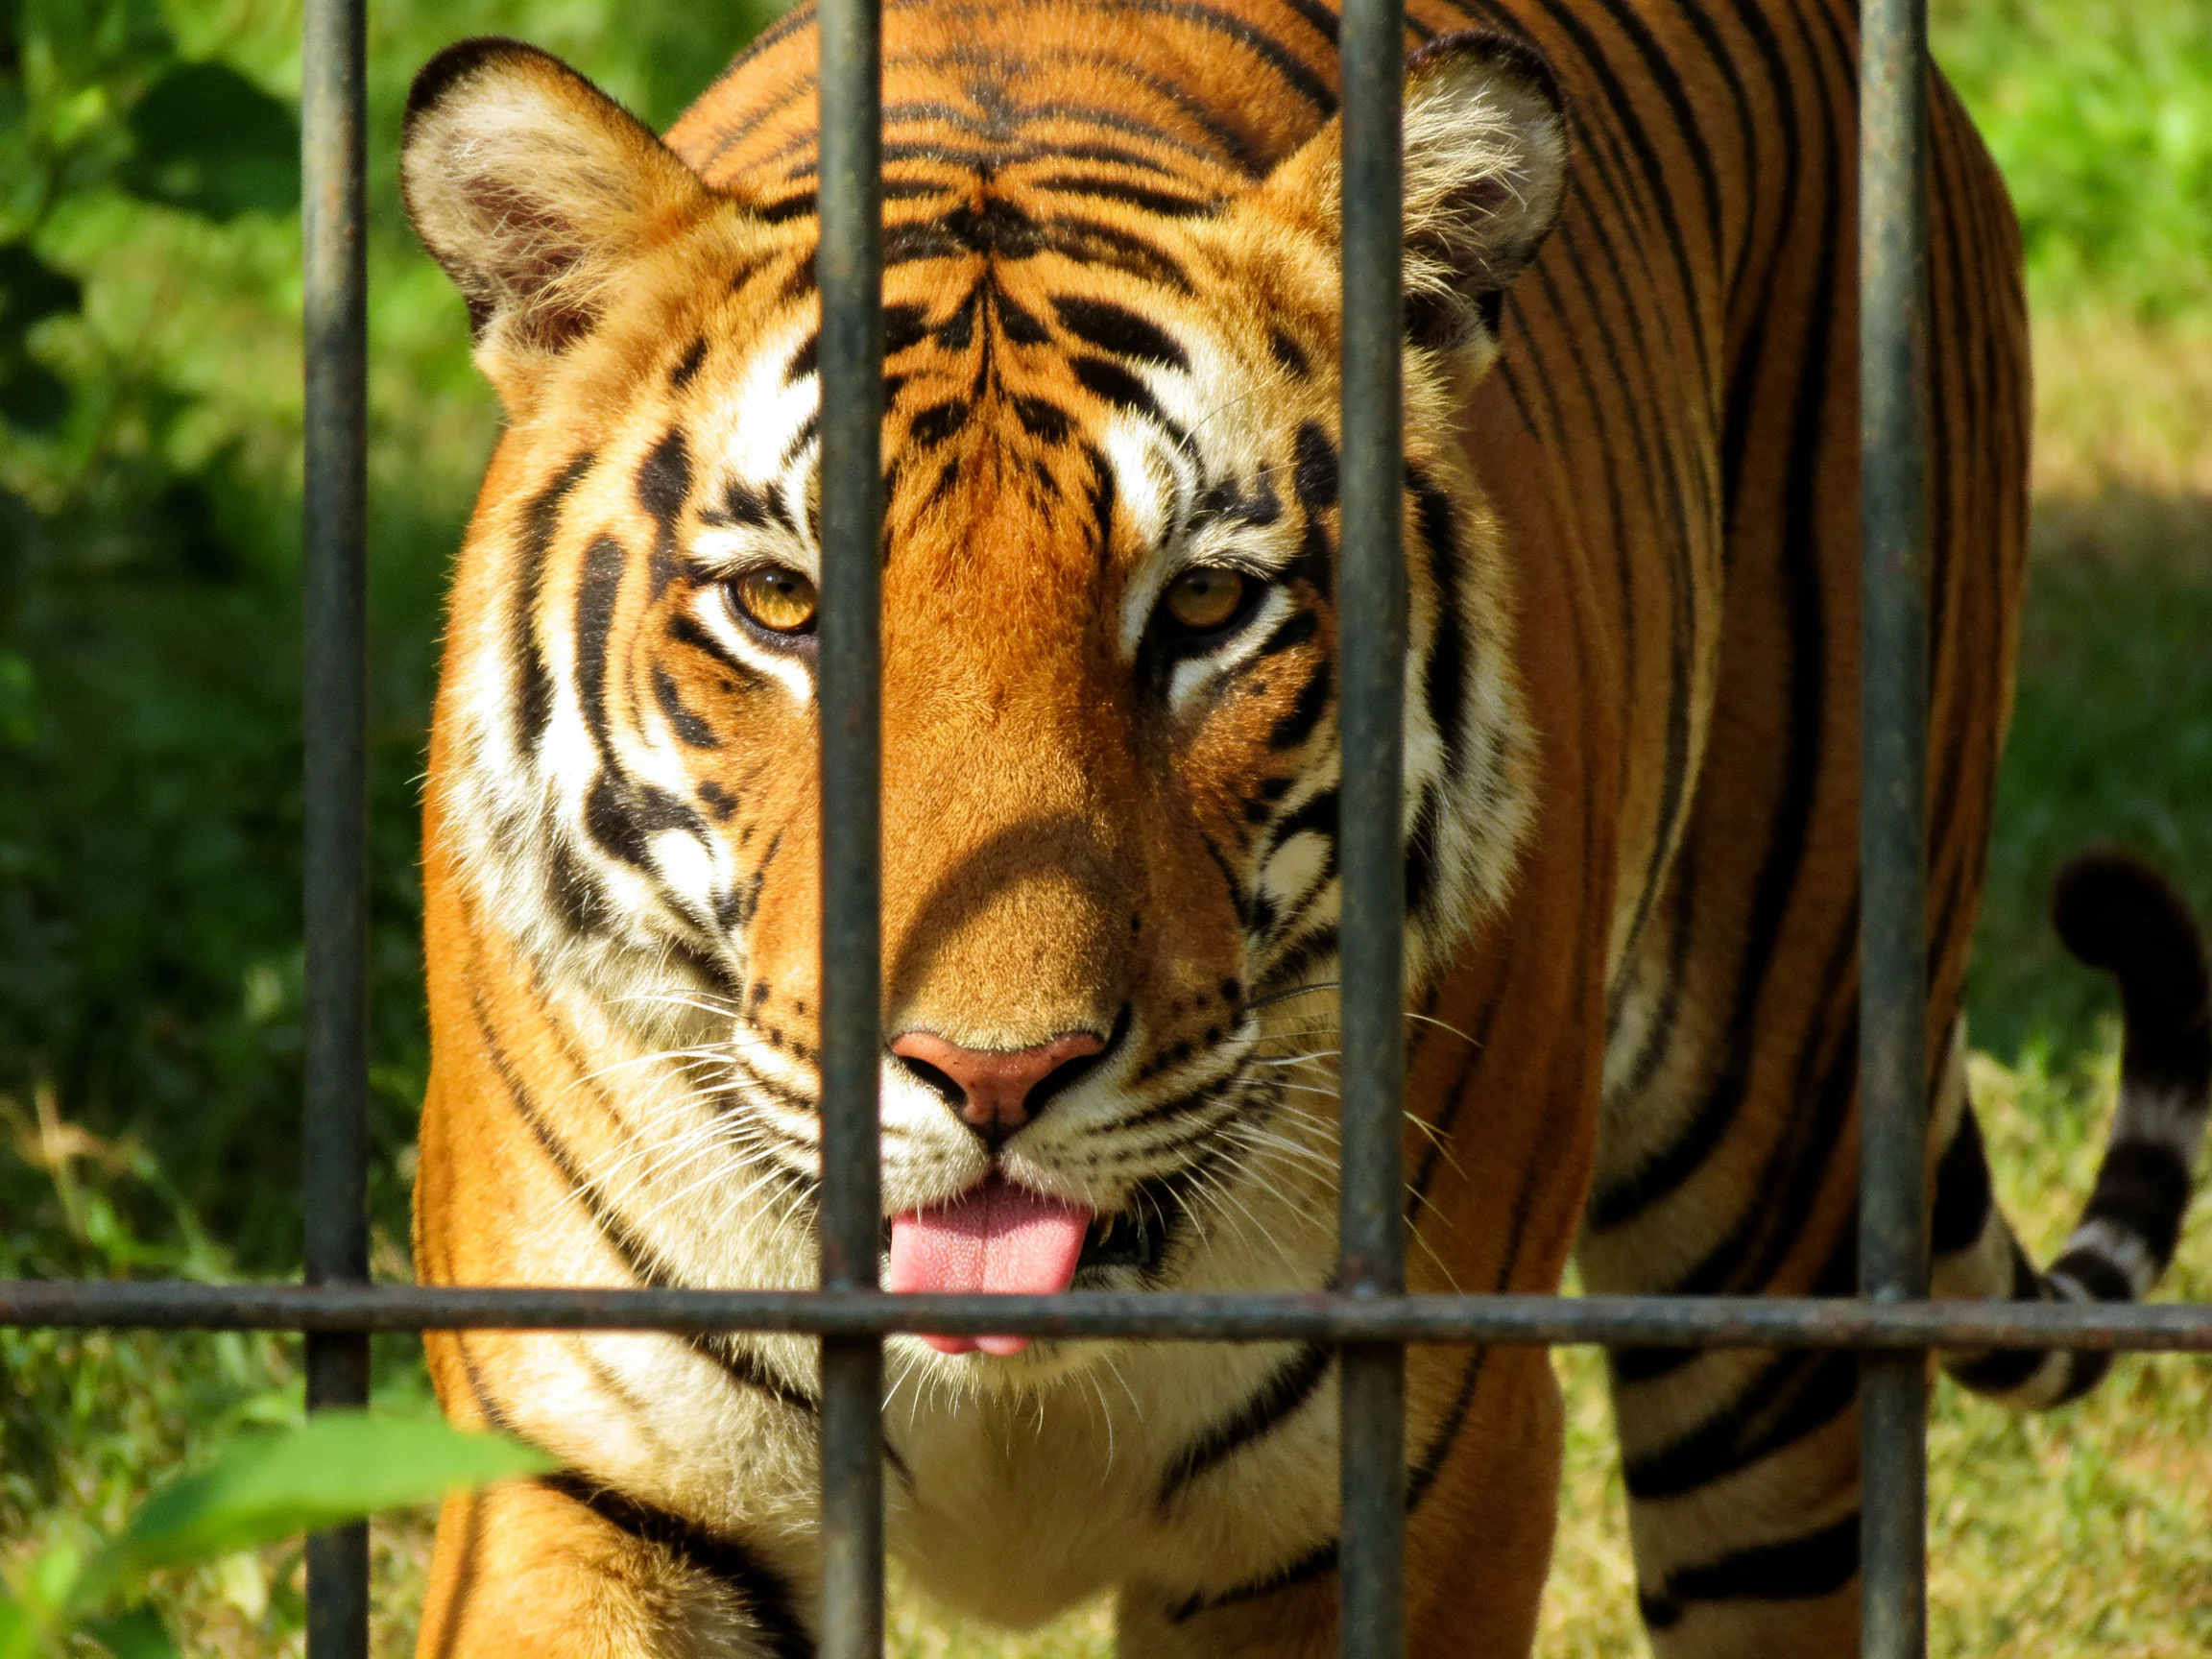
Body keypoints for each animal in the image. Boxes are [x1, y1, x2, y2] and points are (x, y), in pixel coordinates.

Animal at [396, 0, 2212, 1653]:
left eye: (1204, 606)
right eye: (782, 604)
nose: (993, 1075)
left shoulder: (1408, 1478)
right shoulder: (593, 1471)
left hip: (1784, 1215)